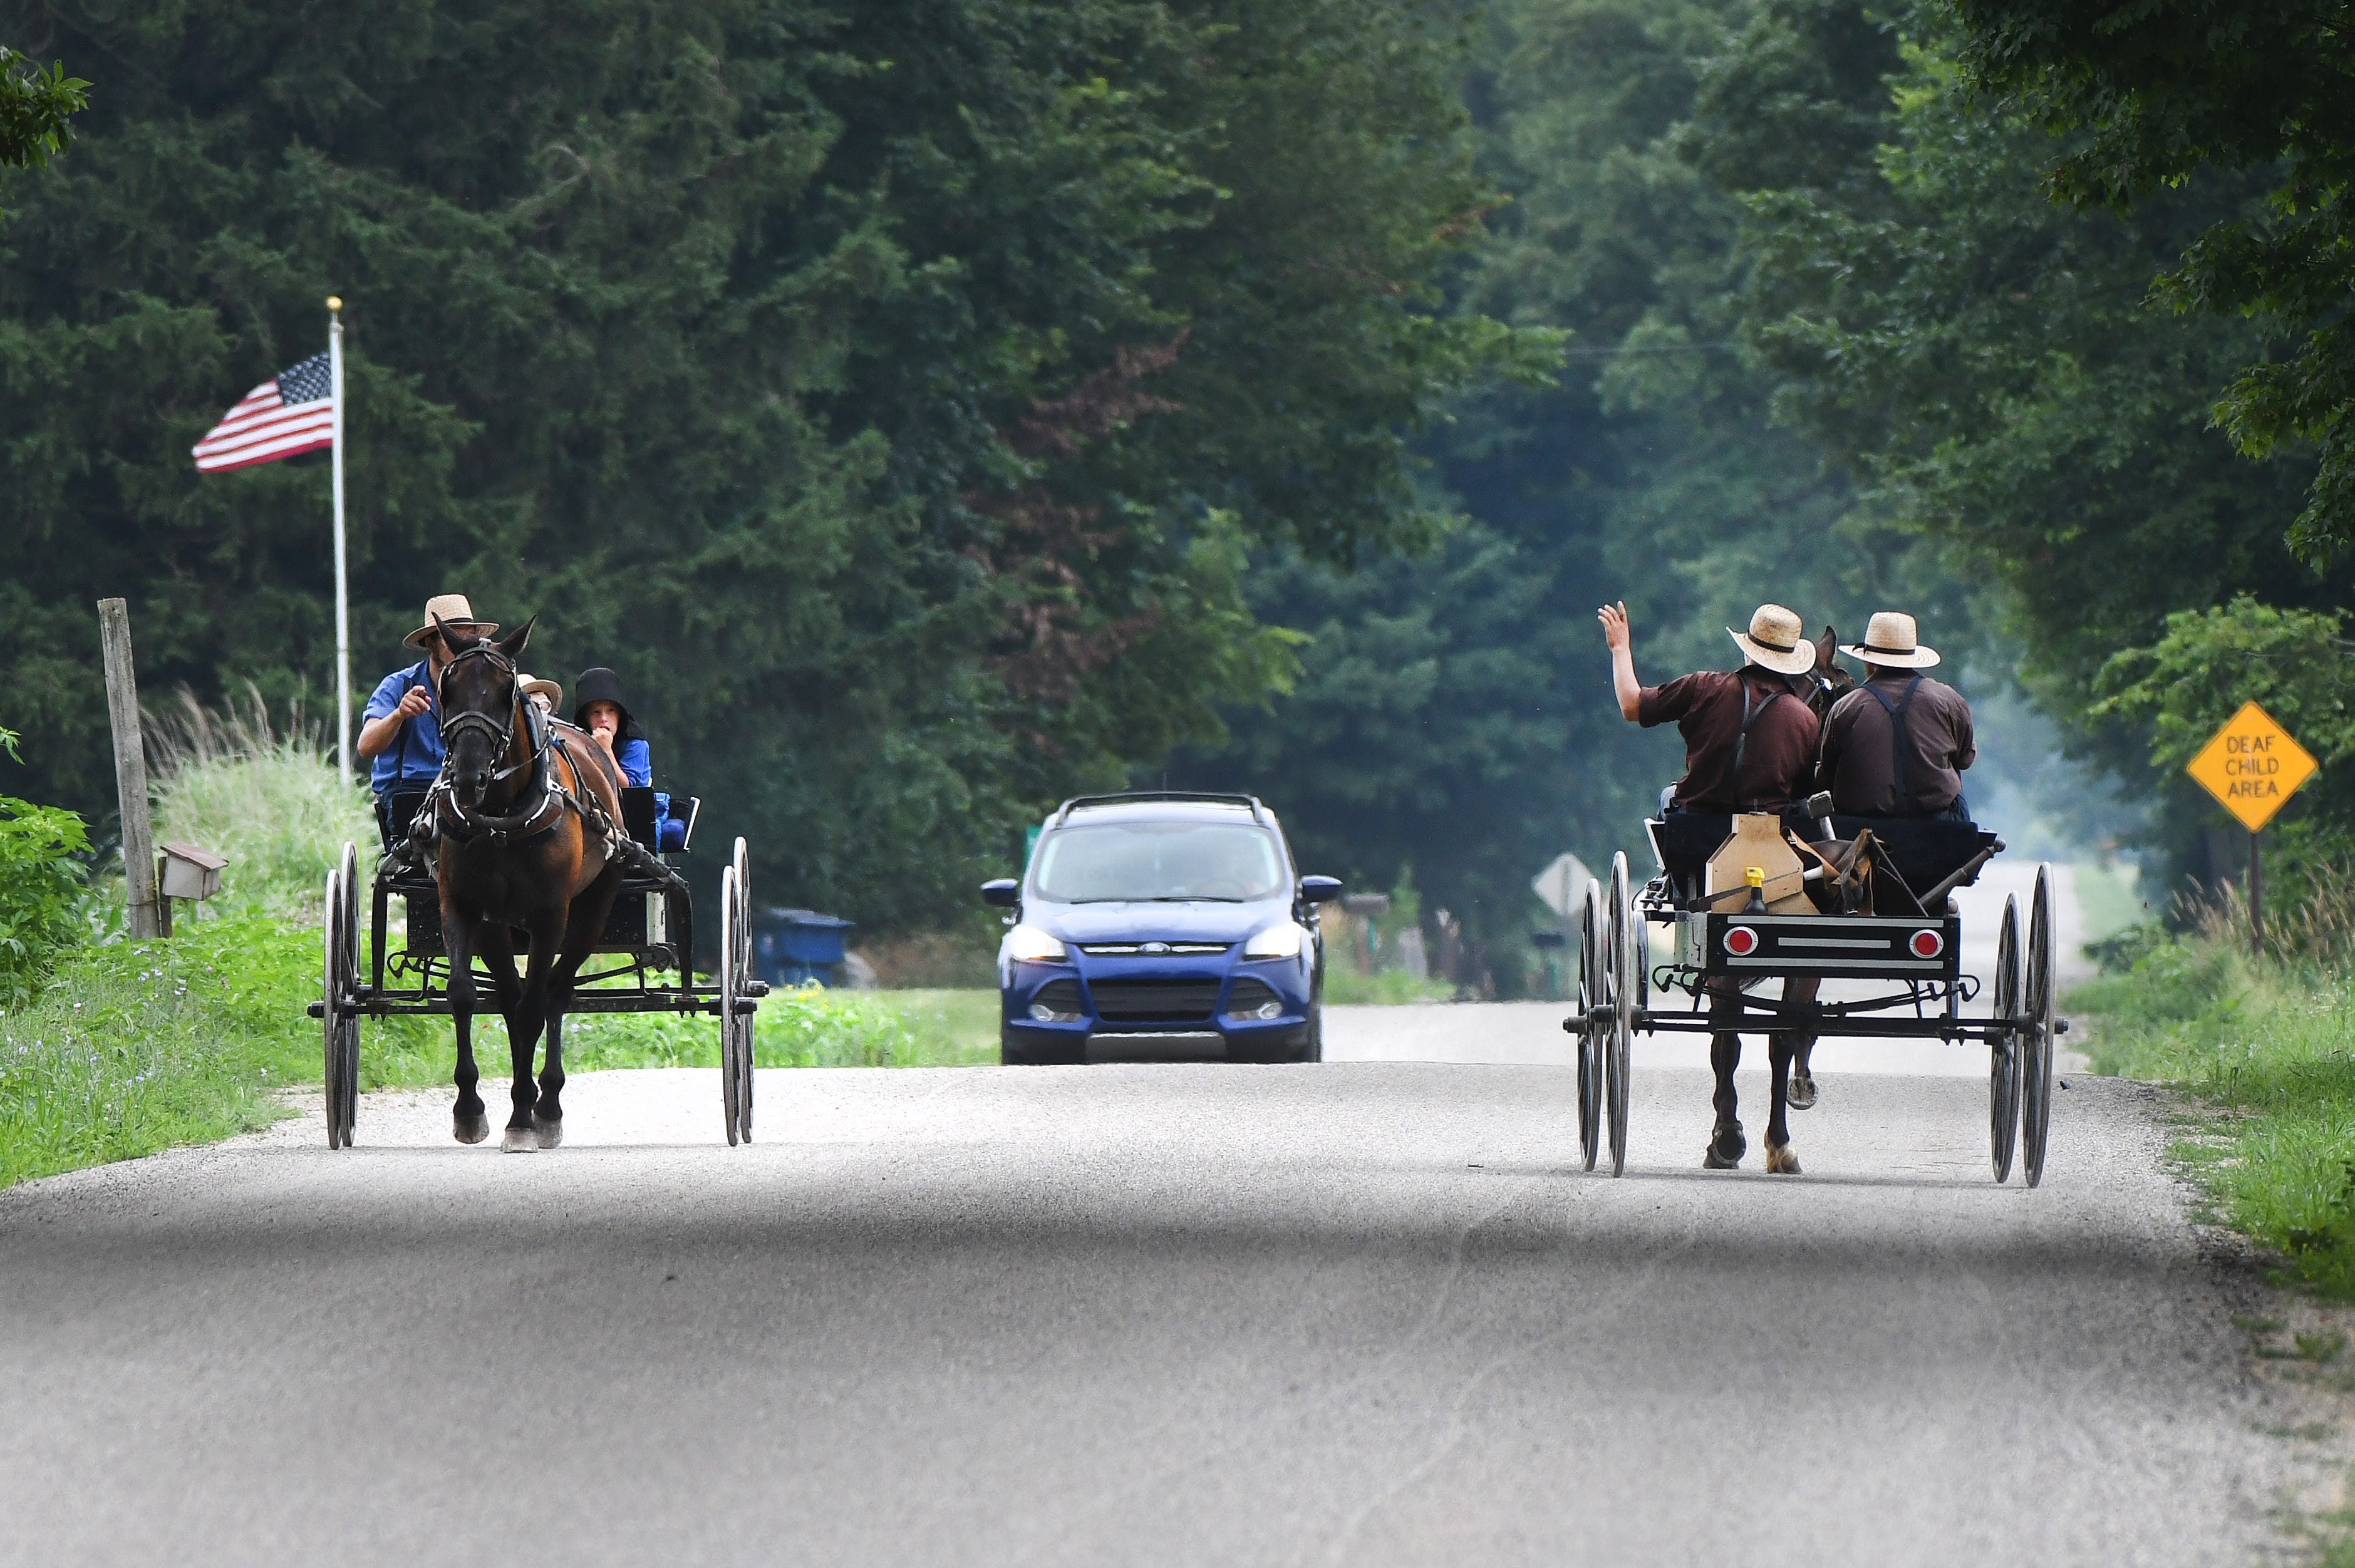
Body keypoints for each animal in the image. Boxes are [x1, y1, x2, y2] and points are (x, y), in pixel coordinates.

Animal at [426, 612, 626, 1148]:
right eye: (447, 688)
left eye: (505, 691)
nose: (469, 777)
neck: (500, 817)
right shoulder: (461, 904)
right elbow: (464, 995)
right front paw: (471, 1109)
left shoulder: (550, 915)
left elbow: (537, 1006)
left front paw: (524, 1118)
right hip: (498, 928)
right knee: (512, 999)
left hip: (591, 912)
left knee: (554, 994)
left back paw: (547, 1105)